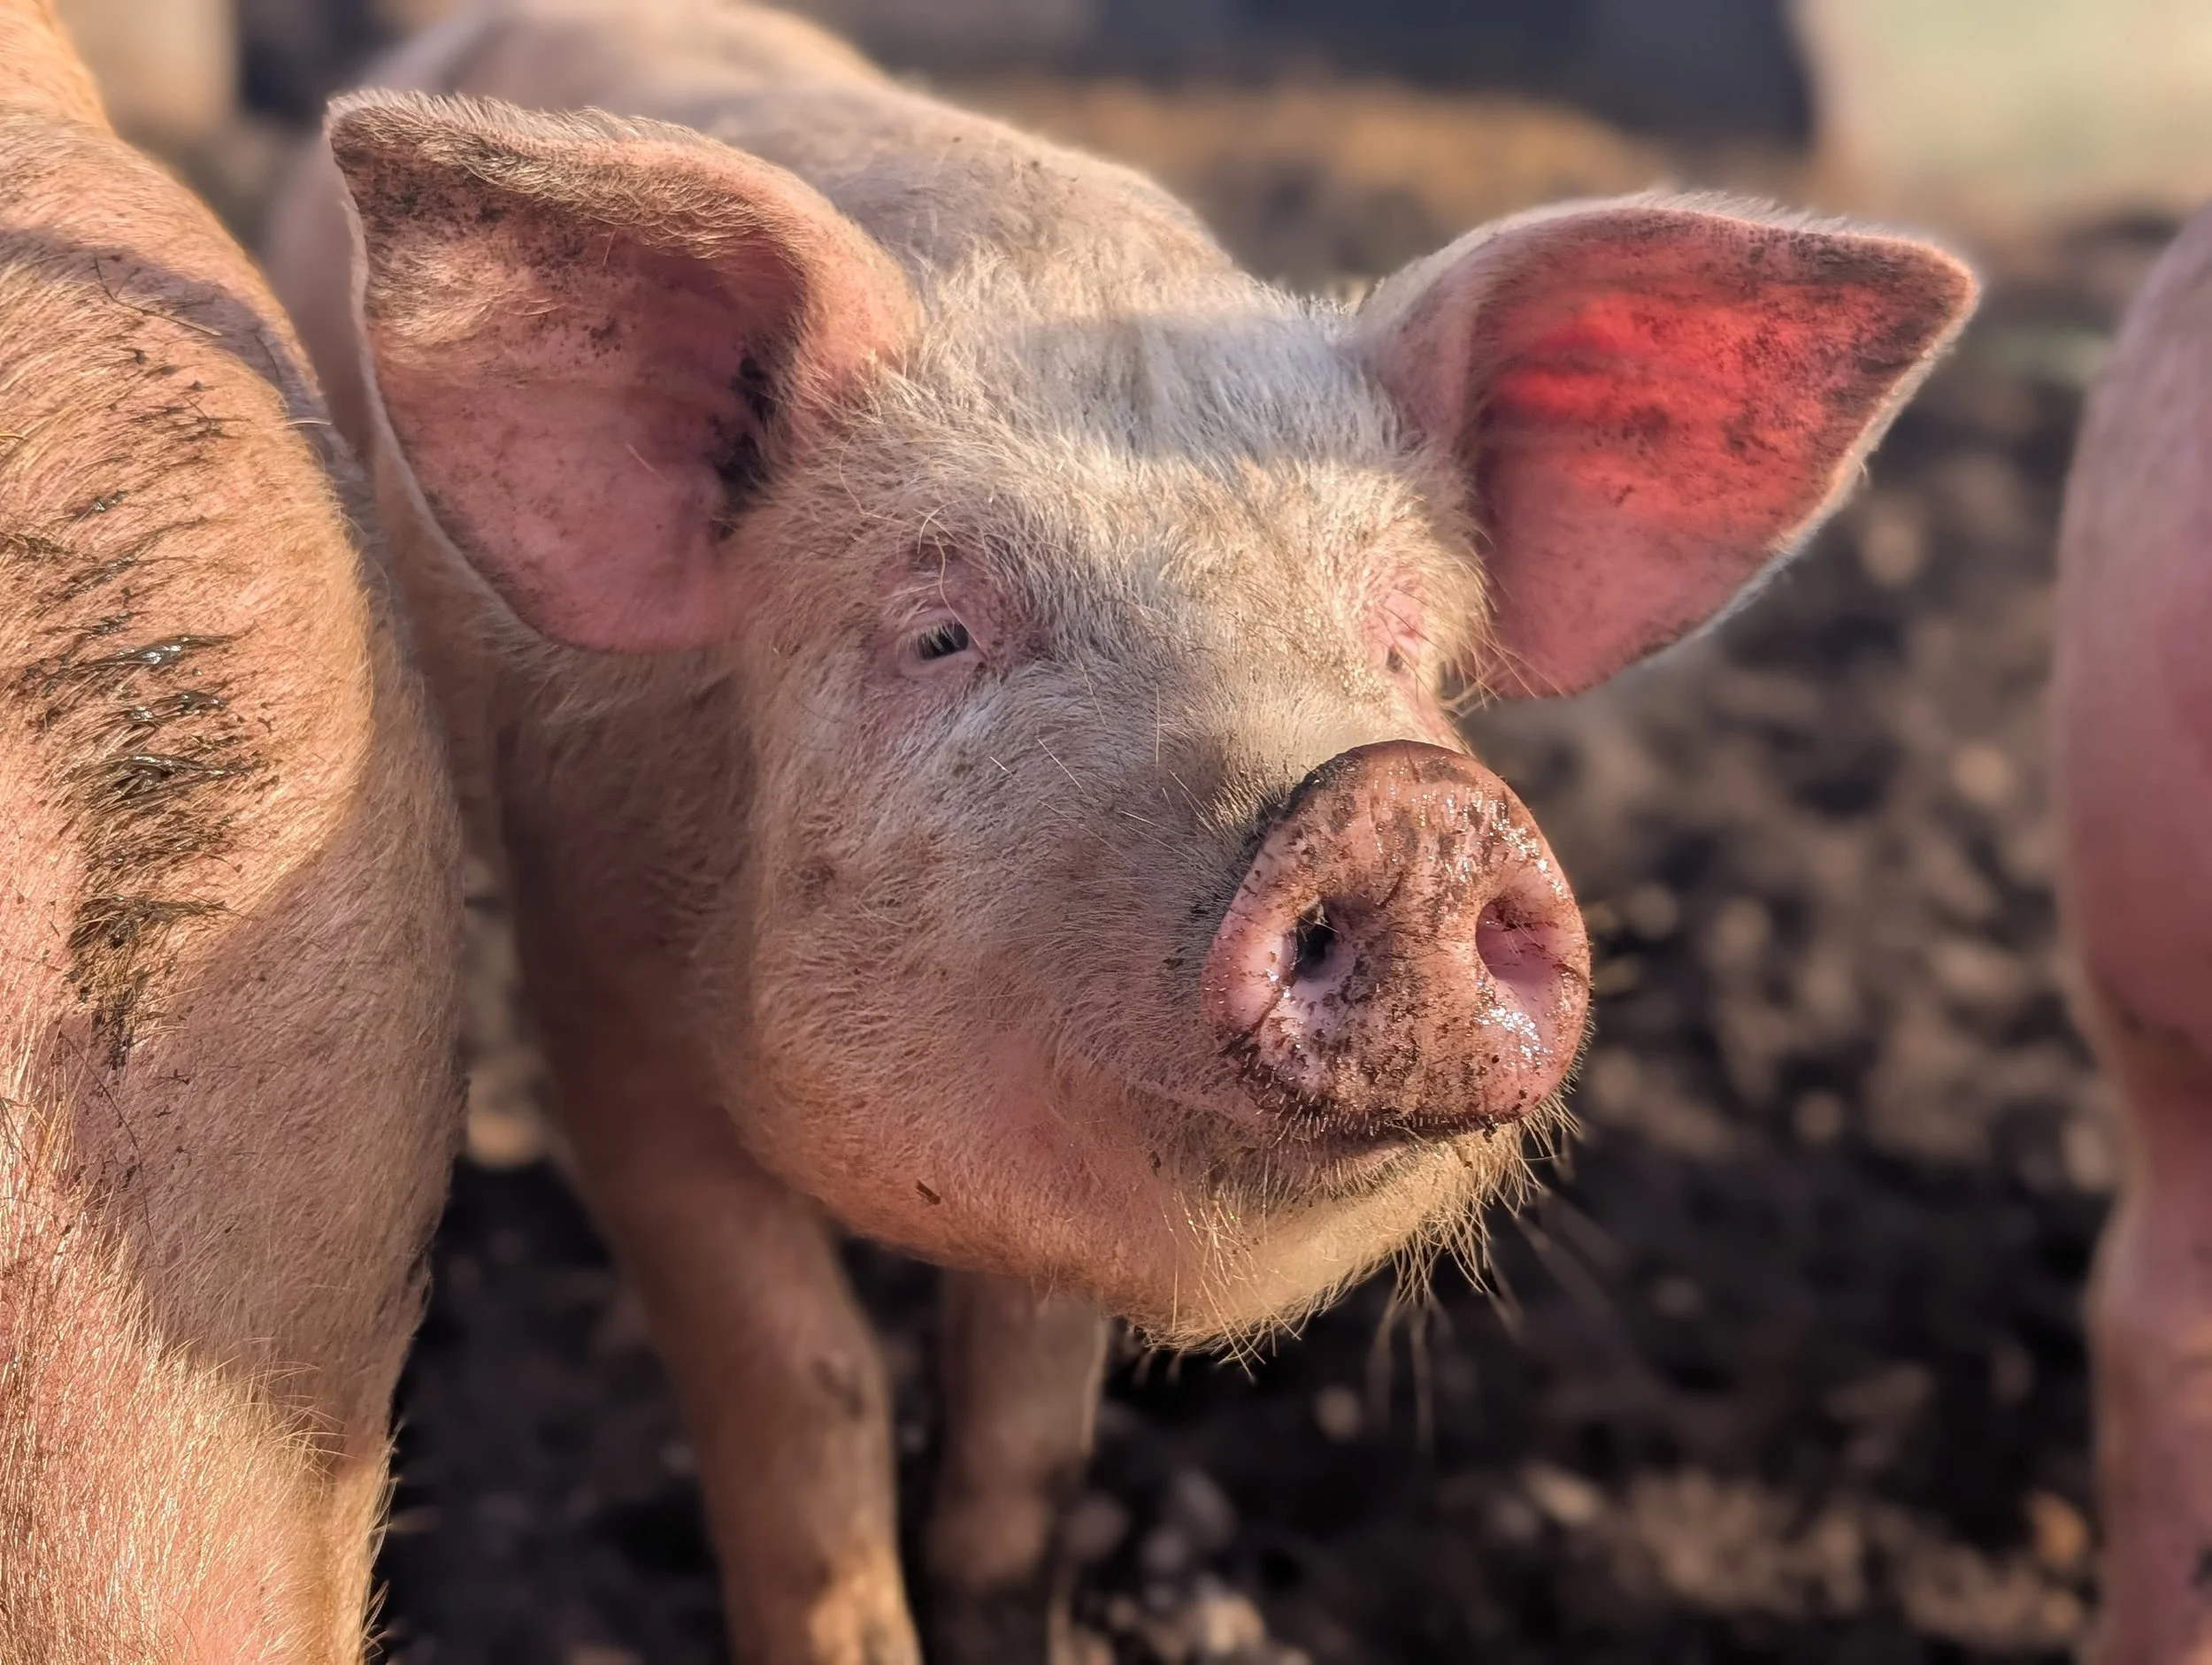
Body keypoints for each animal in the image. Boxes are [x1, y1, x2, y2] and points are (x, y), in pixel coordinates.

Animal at [263, 2, 1975, 1657]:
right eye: (941, 631)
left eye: (1404, 642)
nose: (1406, 806)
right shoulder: (598, 989)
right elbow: (805, 1385)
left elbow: (1031, 1426)